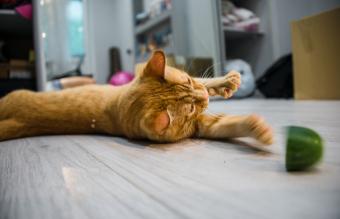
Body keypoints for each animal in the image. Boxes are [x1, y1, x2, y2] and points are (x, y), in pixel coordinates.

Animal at [0, 50, 272, 145]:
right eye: (191, 109)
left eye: (187, 79)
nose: (204, 97)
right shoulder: (200, 126)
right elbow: (225, 123)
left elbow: (206, 83)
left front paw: (226, 81)